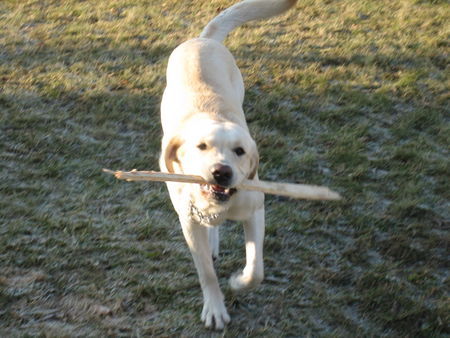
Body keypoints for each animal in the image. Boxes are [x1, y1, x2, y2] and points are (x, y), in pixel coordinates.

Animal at [160, 0, 298, 328]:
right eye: (201, 146)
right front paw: (215, 308)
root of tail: (203, 39)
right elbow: (206, 273)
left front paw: (239, 281)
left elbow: (256, 268)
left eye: (240, 151)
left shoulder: (255, 211)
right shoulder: (189, 224)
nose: (220, 172)